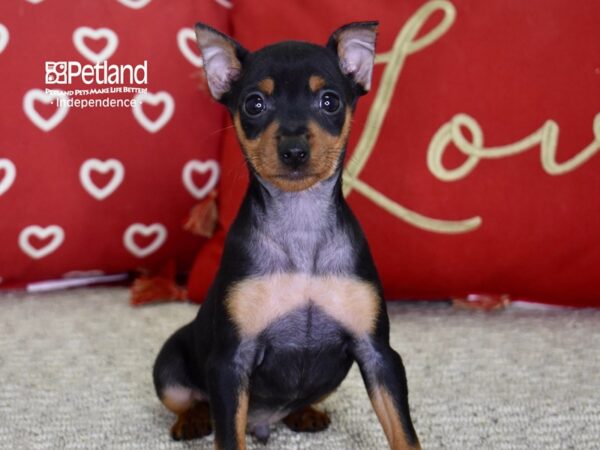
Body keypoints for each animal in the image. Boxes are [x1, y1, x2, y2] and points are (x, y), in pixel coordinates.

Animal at [152, 21, 420, 450]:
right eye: (253, 104)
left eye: (330, 101)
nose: (294, 150)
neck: (300, 223)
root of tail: (264, 421)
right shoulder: (230, 362)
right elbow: (229, 437)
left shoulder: (378, 353)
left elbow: (404, 431)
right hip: (170, 368)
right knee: (188, 399)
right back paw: (193, 420)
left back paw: (305, 412)